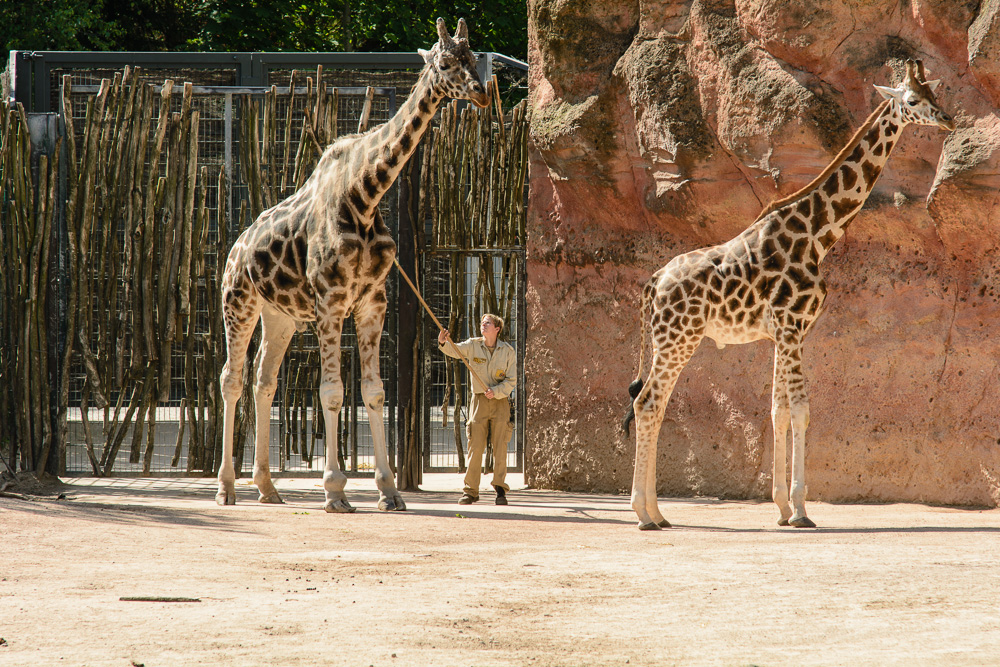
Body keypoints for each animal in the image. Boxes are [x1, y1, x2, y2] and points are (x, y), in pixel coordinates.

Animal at [217, 19, 490, 512]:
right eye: (444, 63)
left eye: (474, 58)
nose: (480, 93)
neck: (364, 196)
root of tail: (236, 248)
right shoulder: (330, 303)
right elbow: (332, 392)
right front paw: (334, 490)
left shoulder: (371, 303)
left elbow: (374, 392)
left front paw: (388, 490)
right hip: (239, 303)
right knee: (231, 378)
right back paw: (226, 487)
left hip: (279, 316)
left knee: (264, 382)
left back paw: (267, 487)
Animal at [620, 62, 956, 532]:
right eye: (912, 100)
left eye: (934, 93)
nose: (947, 120)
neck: (817, 235)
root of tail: (652, 281)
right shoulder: (793, 325)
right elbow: (800, 410)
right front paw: (799, 510)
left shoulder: (784, 332)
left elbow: (777, 410)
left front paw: (780, 507)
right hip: (678, 338)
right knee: (648, 403)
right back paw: (643, 514)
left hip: (669, 339)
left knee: (654, 404)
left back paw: (657, 512)